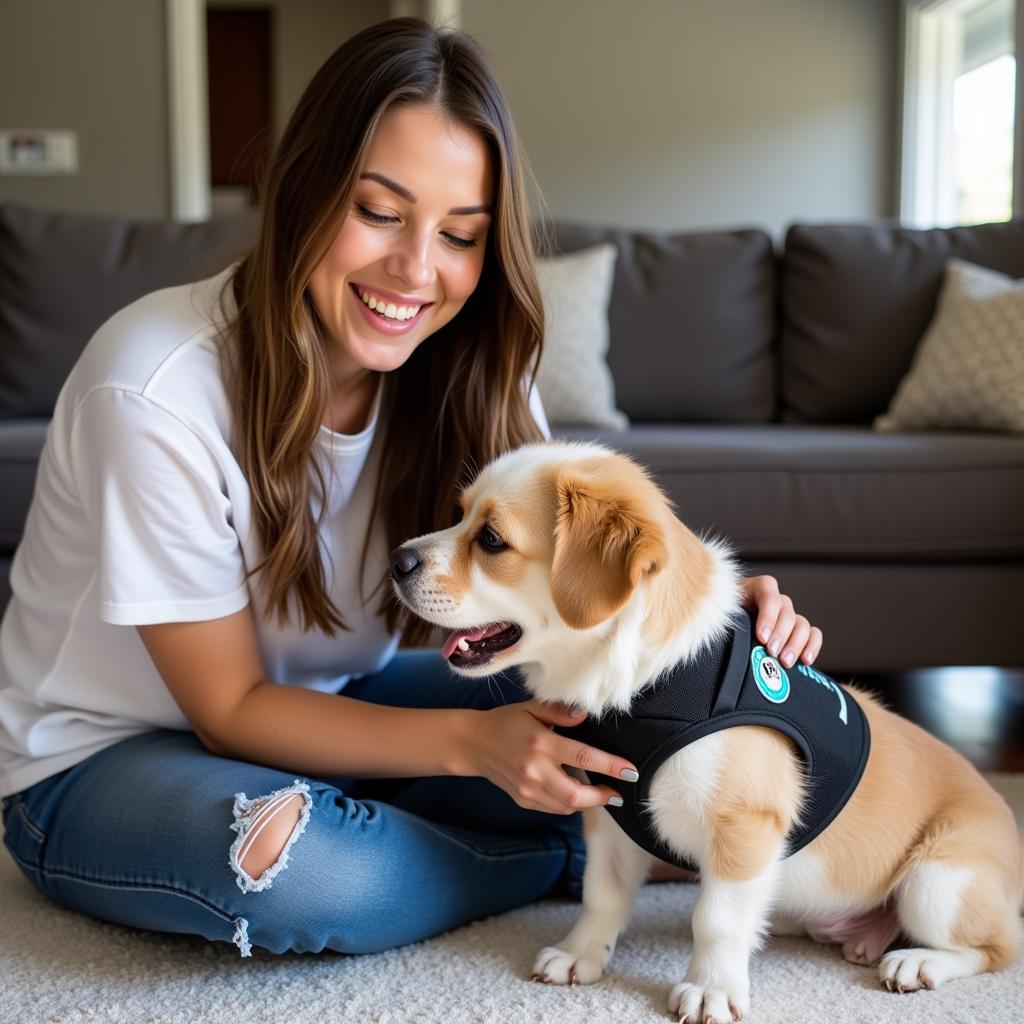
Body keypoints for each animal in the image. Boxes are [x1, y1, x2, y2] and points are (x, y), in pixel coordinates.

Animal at [387, 442, 1019, 1024]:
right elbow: (601, 894)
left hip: (936, 882)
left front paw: (712, 989)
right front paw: (580, 956)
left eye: (492, 540)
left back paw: (918, 962)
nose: (396, 560)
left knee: (997, 947)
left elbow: (714, 919)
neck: (648, 681)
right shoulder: (609, 814)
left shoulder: (743, 826)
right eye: (460, 514)